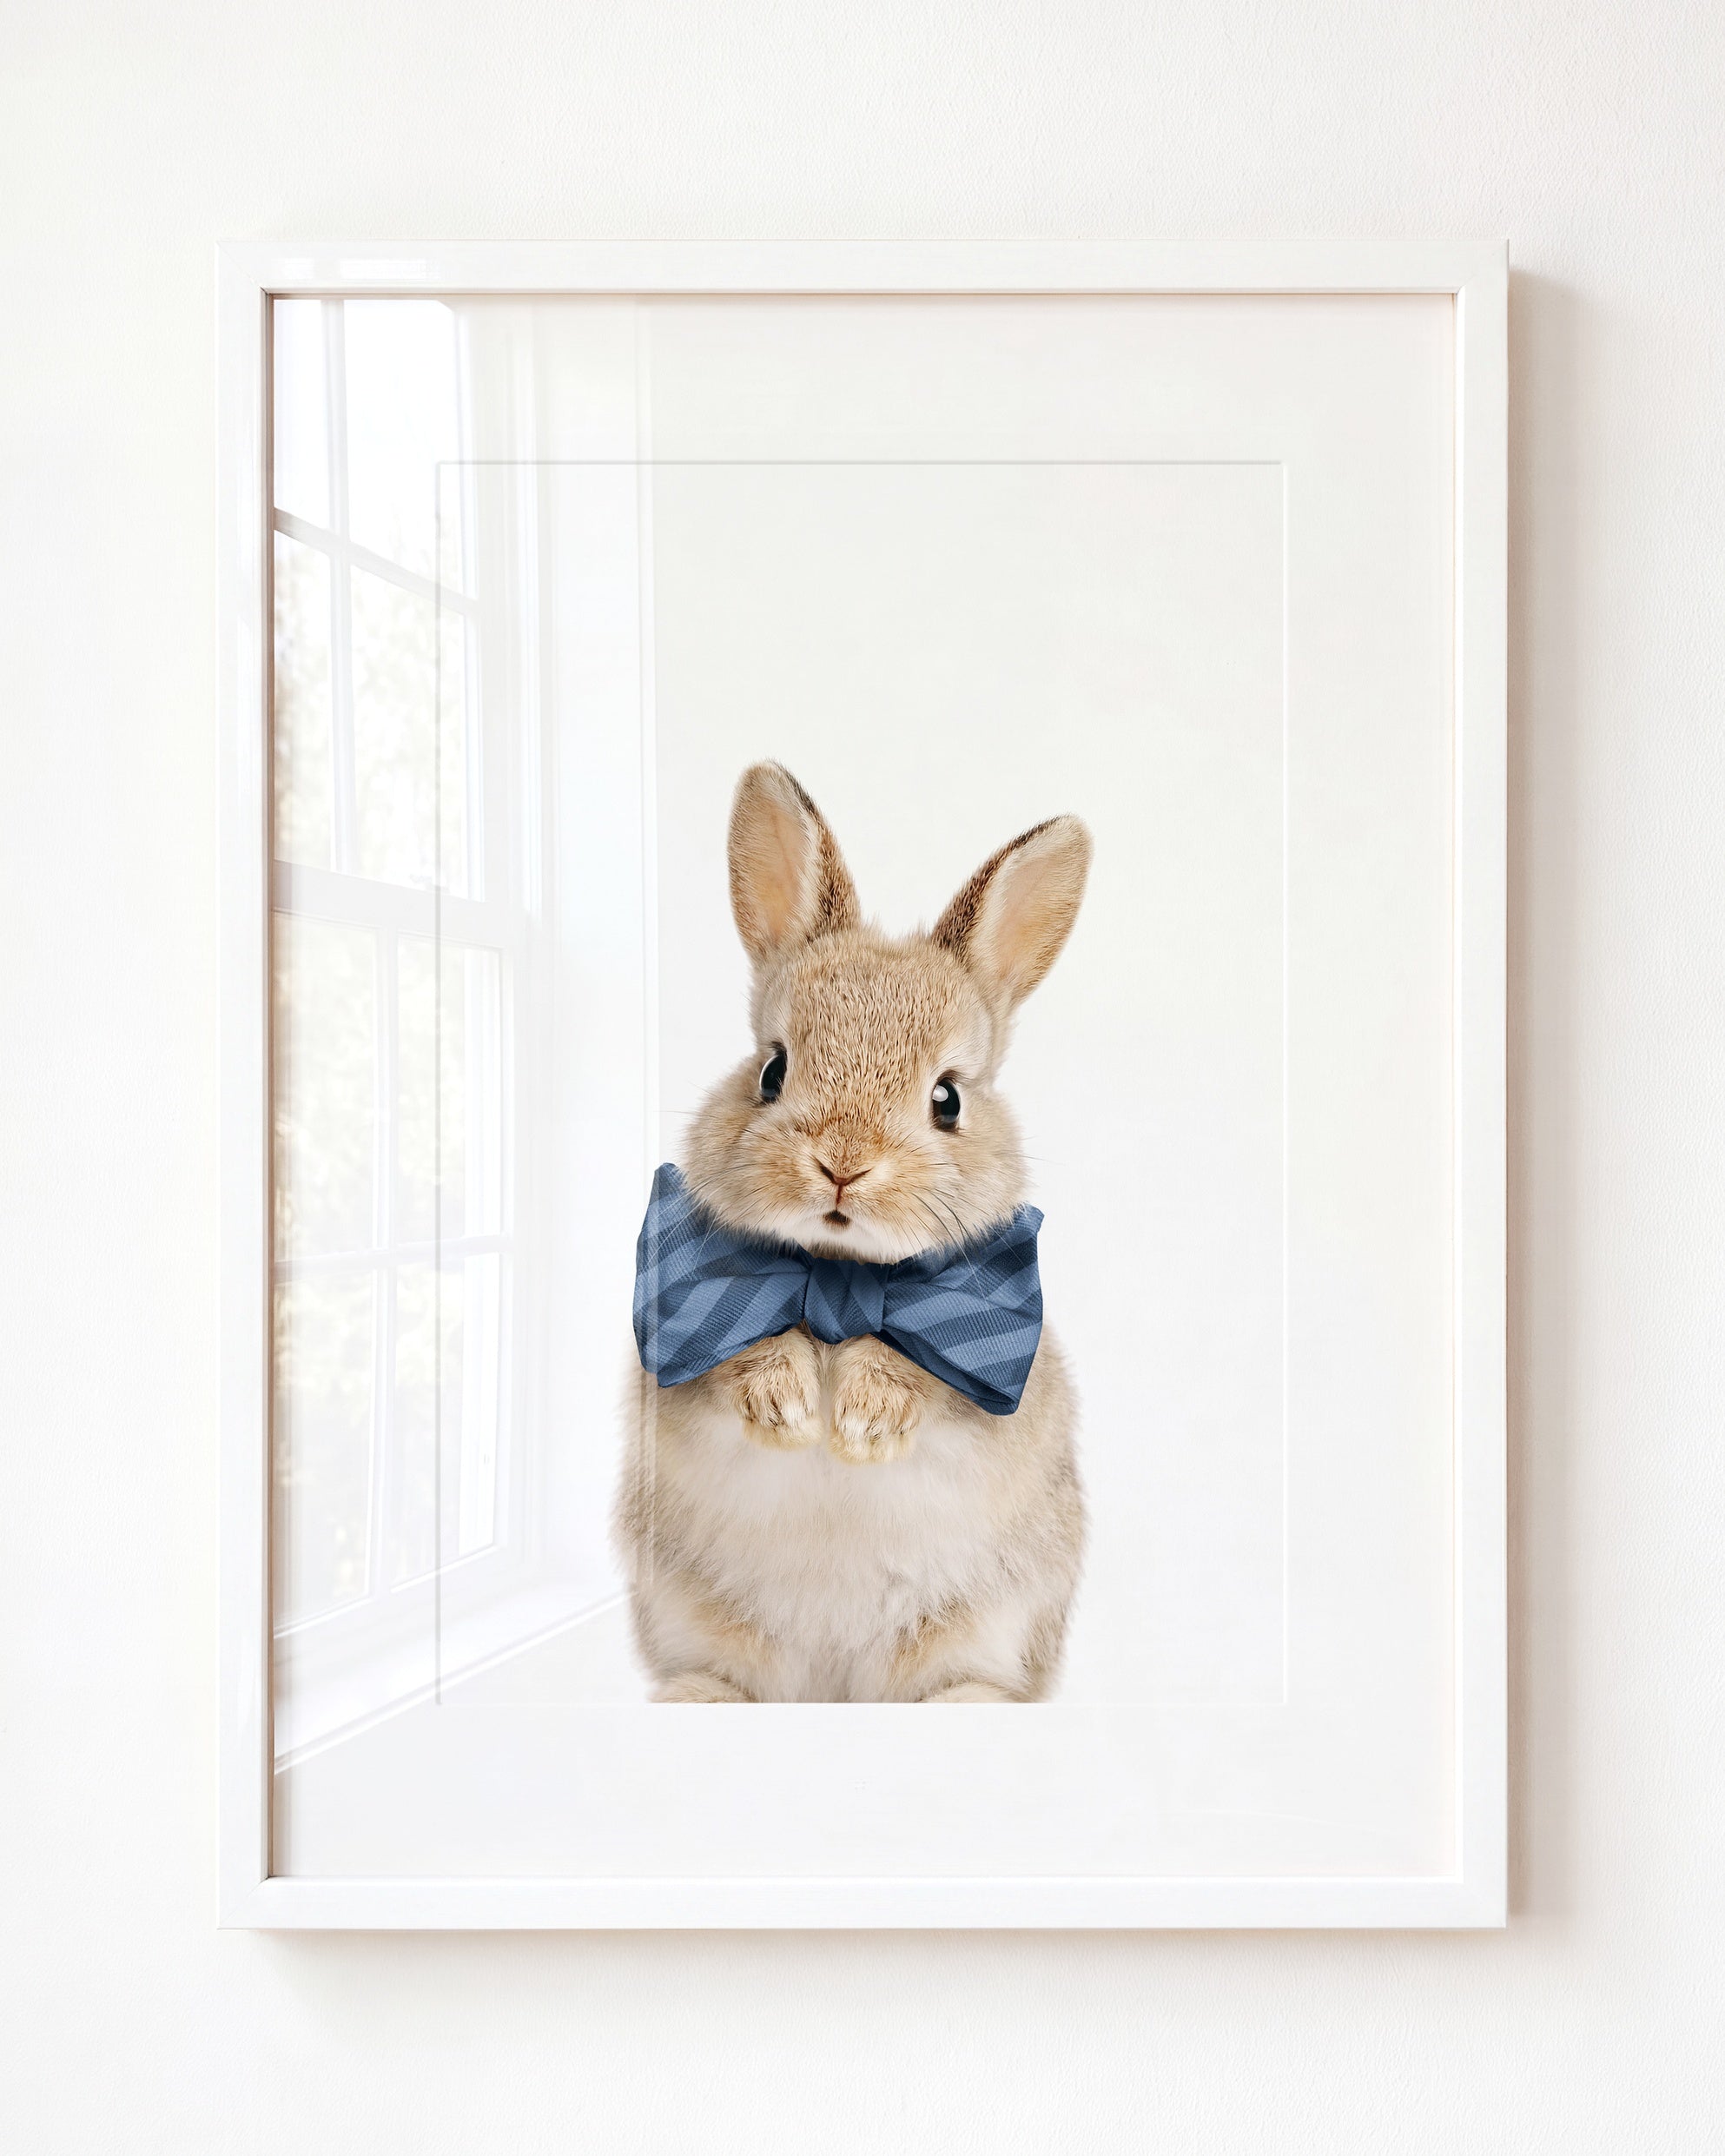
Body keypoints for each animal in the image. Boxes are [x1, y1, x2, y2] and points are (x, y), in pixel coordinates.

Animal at [615, 761, 1091, 1702]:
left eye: (947, 1099)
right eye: (772, 1069)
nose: (842, 1163)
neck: (839, 1273)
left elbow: (928, 1378)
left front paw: (864, 1422)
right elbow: (732, 1360)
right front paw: (790, 1408)